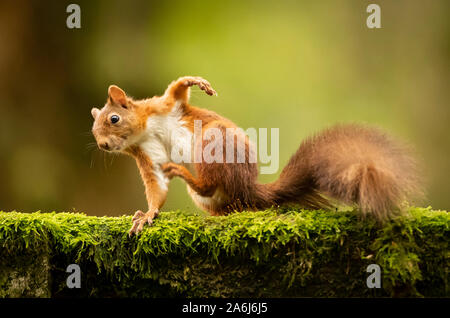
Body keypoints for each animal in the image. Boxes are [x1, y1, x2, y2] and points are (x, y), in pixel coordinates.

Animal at [91, 76, 422, 236]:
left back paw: (183, 172)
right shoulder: (146, 157)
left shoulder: (164, 106)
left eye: (114, 119)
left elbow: (177, 91)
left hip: (213, 142)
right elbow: (156, 188)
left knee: (208, 184)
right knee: (220, 200)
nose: (104, 145)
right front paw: (147, 215)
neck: (143, 132)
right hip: (218, 196)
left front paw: (196, 82)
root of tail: (248, 188)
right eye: (94, 131)